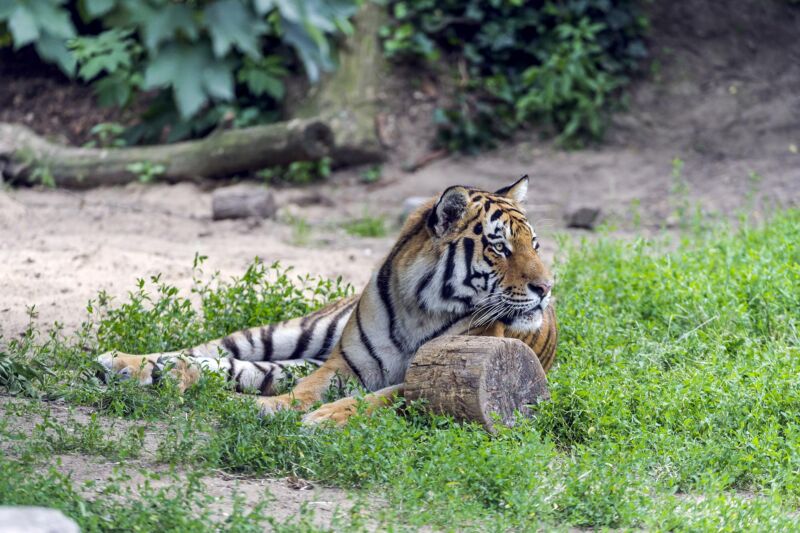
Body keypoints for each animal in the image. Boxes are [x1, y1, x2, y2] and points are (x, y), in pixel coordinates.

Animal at [97, 176, 557, 425]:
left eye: (534, 245)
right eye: (499, 248)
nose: (547, 288)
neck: (422, 308)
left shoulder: (432, 374)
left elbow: (383, 396)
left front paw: (325, 418)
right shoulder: (345, 364)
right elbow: (307, 389)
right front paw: (278, 409)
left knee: (237, 368)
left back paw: (167, 374)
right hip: (292, 332)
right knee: (211, 349)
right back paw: (125, 362)